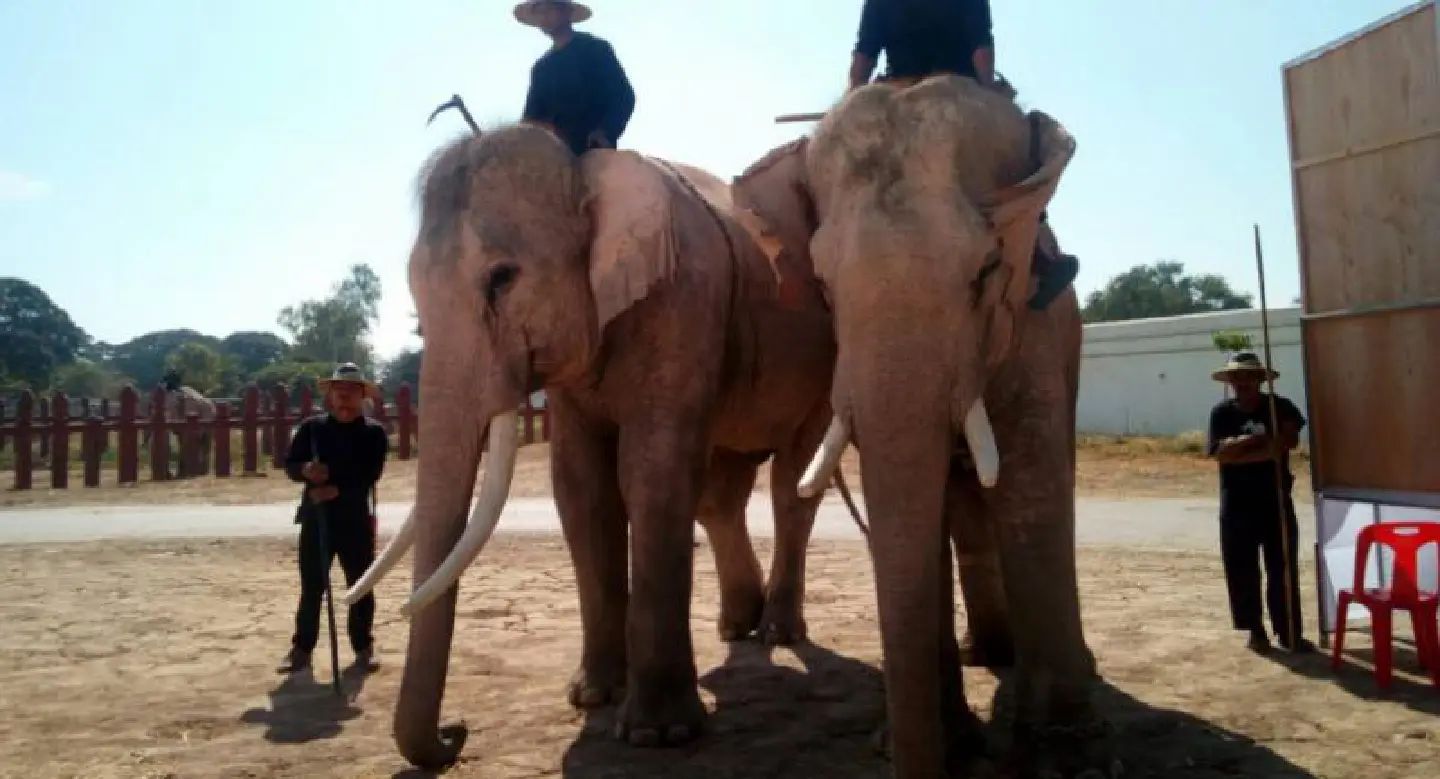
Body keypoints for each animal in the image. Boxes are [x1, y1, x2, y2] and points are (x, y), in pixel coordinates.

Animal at [341, 122, 836, 769]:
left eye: (502, 278)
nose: (457, 733)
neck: (584, 169)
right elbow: (581, 488)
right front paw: (592, 697)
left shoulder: (681, 300)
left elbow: (651, 474)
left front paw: (657, 734)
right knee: (719, 495)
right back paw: (737, 626)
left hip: (824, 363)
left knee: (789, 484)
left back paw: (777, 631)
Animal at [763, 75, 1105, 778]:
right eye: (824, 288)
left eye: (984, 273)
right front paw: (951, 743)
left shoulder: (1030, 323)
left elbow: (1029, 490)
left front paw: (1066, 762)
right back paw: (988, 654)